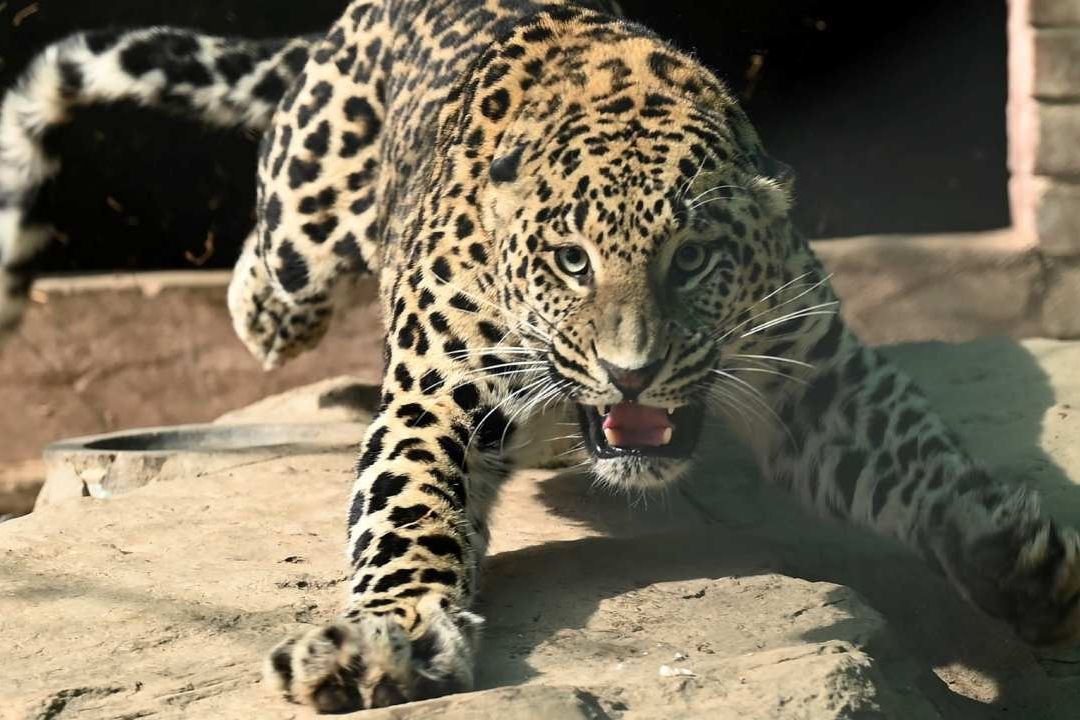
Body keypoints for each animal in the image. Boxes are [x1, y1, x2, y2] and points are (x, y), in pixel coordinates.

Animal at [2, 0, 1080, 713]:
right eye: (572, 260)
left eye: (693, 261)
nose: (632, 372)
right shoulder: (440, 391)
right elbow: (406, 511)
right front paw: (389, 636)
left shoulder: (814, 372)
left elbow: (915, 456)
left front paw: (1011, 561)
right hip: (310, 209)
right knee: (266, 275)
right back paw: (273, 309)